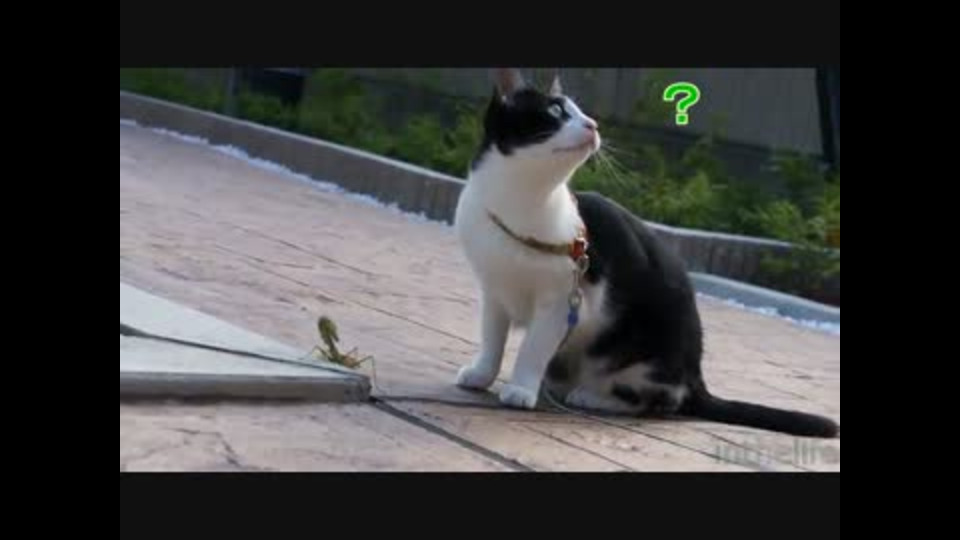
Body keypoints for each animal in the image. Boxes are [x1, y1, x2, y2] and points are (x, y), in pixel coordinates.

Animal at [453, 68, 839, 438]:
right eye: (557, 111)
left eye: (580, 112)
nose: (593, 124)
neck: (519, 204)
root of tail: (695, 376)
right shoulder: (494, 292)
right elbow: (492, 338)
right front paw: (482, 374)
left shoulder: (564, 303)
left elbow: (533, 347)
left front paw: (521, 388)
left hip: (642, 360)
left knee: (662, 400)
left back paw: (590, 395)